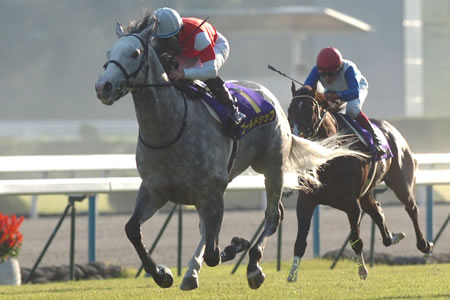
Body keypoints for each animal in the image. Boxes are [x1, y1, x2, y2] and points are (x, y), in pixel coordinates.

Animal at [94, 12, 362, 290]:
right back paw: (191, 273)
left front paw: (237, 246)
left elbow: (214, 254)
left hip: (272, 167)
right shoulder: (155, 189)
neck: (169, 128)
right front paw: (161, 273)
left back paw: (253, 267)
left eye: (135, 53)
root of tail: (268, 94)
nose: (103, 86)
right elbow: (132, 229)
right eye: (109, 52)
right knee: (208, 229)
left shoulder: (211, 191)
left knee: (273, 215)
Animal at [286, 84, 434, 282]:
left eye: (310, 110)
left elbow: (356, 240)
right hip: (366, 193)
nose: (296, 137)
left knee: (411, 208)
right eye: (290, 110)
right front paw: (292, 275)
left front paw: (362, 271)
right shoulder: (306, 200)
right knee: (377, 211)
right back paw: (393, 237)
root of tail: (392, 129)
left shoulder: (351, 203)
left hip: (402, 182)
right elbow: (300, 241)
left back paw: (424, 244)